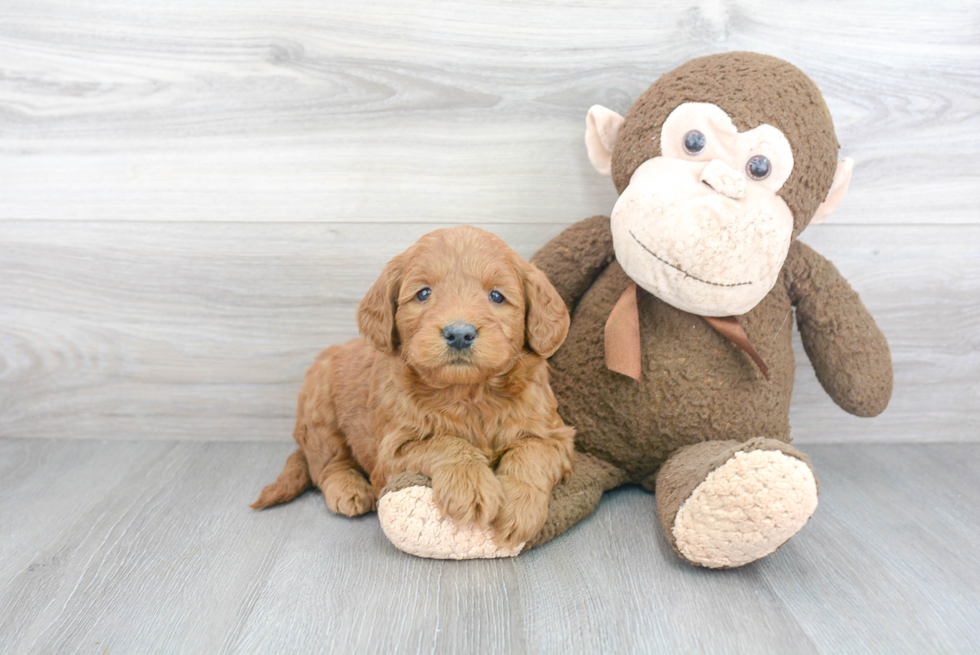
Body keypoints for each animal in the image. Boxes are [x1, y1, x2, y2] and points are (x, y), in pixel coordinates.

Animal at [253, 226, 576, 548]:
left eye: (497, 296)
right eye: (423, 293)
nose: (459, 333)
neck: (469, 393)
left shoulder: (554, 434)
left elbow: (531, 454)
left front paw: (518, 508)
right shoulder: (392, 450)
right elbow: (445, 442)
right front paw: (470, 486)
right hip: (320, 410)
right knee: (326, 465)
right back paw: (348, 489)